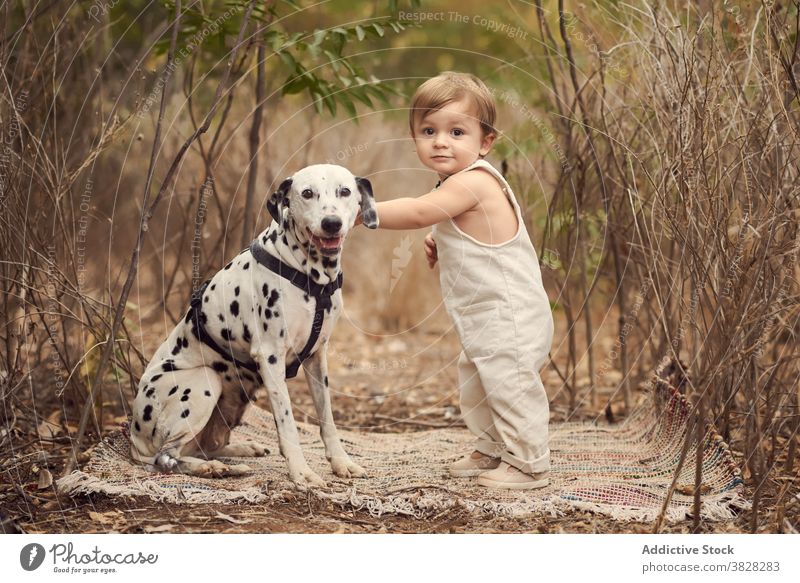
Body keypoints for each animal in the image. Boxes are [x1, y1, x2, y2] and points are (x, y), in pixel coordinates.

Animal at [130, 164, 380, 488]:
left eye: (345, 191)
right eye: (307, 193)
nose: (331, 223)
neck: (309, 274)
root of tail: (134, 439)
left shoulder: (317, 359)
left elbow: (327, 420)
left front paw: (341, 463)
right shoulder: (271, 358)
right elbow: (287, 424)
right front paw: (301, 473)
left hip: (236, 399)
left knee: (207, 446)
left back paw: (236, 455)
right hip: (203, 382)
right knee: (167, 457)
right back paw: (210, 469)